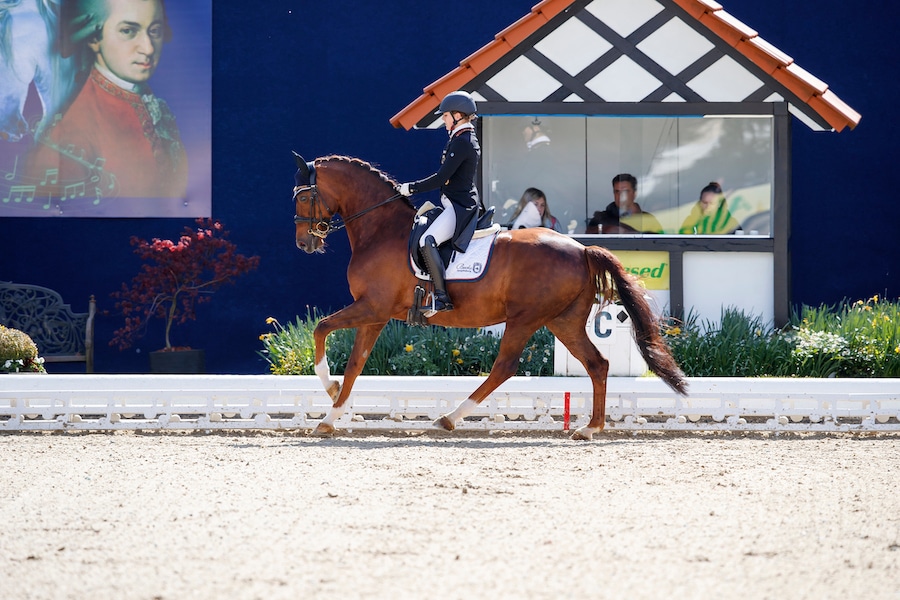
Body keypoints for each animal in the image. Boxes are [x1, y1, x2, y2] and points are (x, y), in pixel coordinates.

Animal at [292, 152, 684, 438]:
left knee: (504, 366)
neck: (381, 229)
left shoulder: (372, 307)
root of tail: (581, 249)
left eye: (305, 197)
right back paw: (590, 428)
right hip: (563, 320)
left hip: (525, 318)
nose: (304, 243)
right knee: (596, 364)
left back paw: (450, 418)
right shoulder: (375, 314)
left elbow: (321, 329)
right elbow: (355, 363)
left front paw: (329, 397)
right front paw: (333, 409)